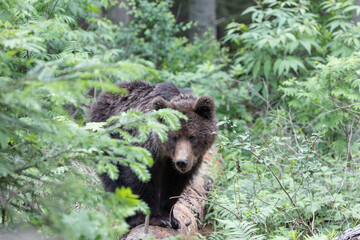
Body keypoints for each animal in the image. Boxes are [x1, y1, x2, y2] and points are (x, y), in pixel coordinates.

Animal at [89, 82, 217, 229]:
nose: (182, 162)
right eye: (174, 137)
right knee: (115, 180)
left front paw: (172, 219)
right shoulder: (147, 149)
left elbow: (174, 184)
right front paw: (156, 218)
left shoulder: (188, 161)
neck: (165, 153)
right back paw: (130, 218)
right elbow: (144, 181)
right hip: (110, 140)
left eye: (193, 137)